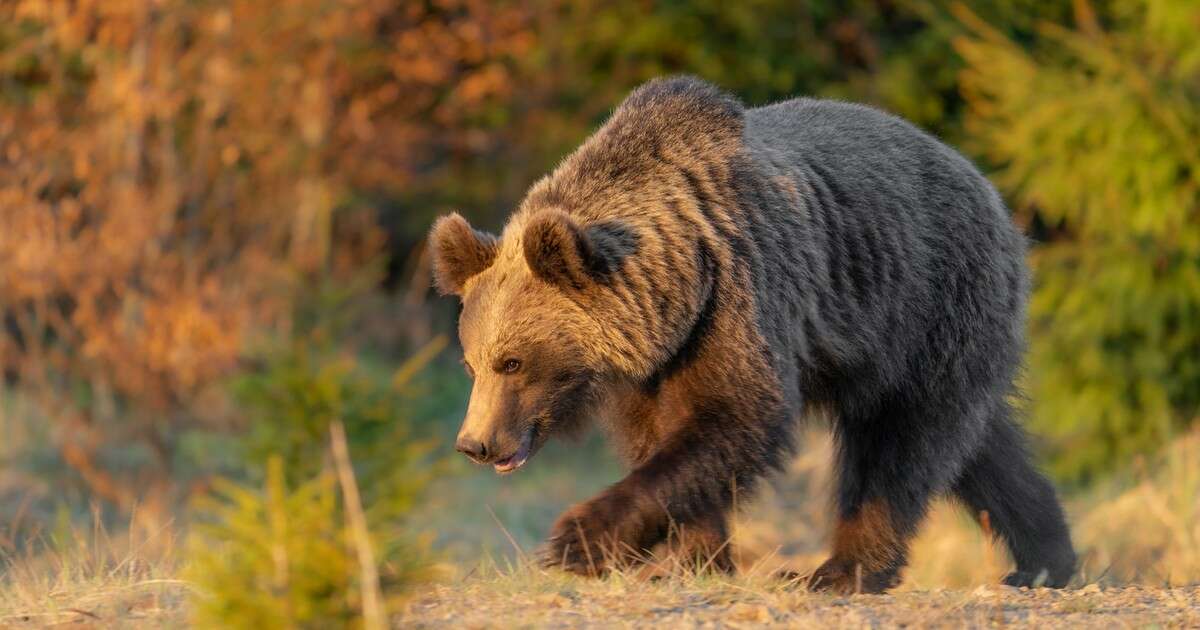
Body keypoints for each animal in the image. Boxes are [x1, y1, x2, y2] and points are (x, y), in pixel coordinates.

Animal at [429, 76, 1080, 592]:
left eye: (512, 361)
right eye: (472, 363)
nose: (475, 443)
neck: (678, 284)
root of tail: (990, 189)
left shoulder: (739, 295)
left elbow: (739, 415)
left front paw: (577, 540)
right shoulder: (655, 362)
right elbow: (663, 439)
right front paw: (693, 558)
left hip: (926, 303)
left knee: (899, 445)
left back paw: (842, 570)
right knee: (981, 444)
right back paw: (1046, 558)